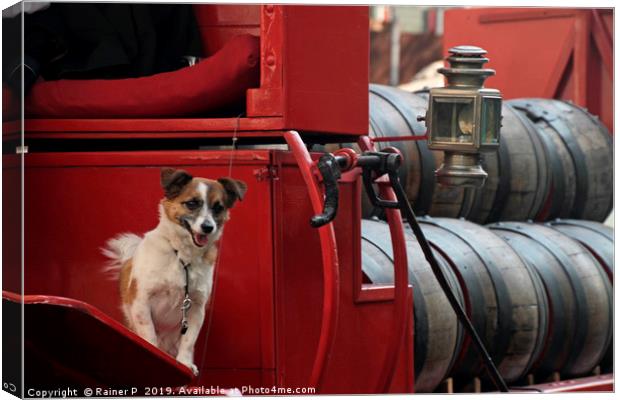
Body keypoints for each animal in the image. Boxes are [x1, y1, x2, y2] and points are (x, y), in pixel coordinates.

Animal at [103, 168, 246, 376]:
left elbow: (188, 341)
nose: (208, 227)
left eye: (218, 208)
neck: (182, 255)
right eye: (192, 203)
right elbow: (149, 337)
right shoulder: (141, 302)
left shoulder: (196, 308)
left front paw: (185, 363)